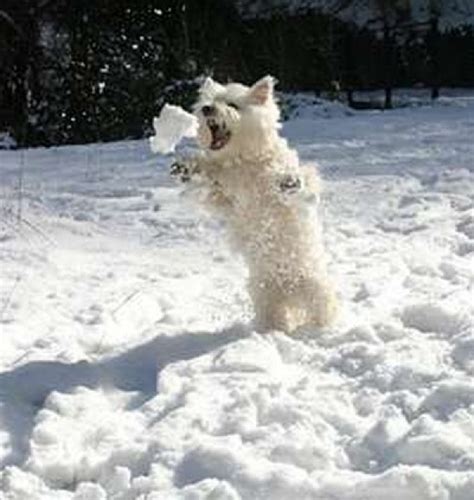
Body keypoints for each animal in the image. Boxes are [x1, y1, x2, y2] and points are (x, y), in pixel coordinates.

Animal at [172, 75, 338, 332]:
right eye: (209, 101)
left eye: (232, 105)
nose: (207, 109)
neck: (242, 160)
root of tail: (290, 291)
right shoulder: (225, 197)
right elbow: (211, 187)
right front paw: (186, 168)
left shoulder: (294, 191)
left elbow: (297, 183)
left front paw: (288, 181)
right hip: (264, 295)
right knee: (274, 315)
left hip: (316, 290)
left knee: (323, 310)